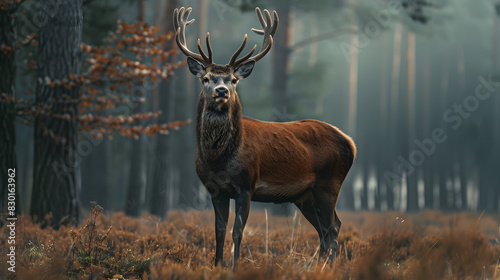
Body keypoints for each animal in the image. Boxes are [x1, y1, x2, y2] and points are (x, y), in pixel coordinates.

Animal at [174, 7, 358, 268]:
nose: (222, 91)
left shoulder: (247, 185)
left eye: (233, 79)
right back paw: (317, 266)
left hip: (330, 184)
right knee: (326, 228)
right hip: (305, 196)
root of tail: (351, 142)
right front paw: (217, 265)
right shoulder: (214, 189)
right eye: (206, 78)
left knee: (332, 227)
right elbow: (219, 230)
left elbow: (237, 231)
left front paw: (235, 267)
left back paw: (327, 267)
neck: (219, 159)